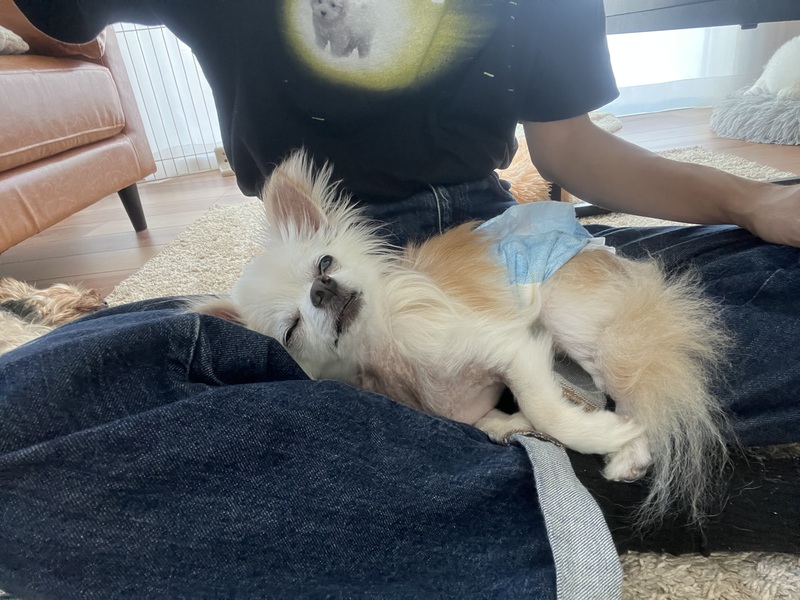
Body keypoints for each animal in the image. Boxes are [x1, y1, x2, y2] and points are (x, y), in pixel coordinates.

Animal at [194, 150, 732, 526]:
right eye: (291, 329)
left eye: (324, 263)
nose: (321, 289)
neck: (393, 353)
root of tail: (589, 243)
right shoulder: (474, 410)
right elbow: (503, 422)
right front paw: (529, 427)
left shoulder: (510, 348)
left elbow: (543, 408)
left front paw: (601, 433)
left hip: (565, 313)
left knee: (627, 377)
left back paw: (630, 446)